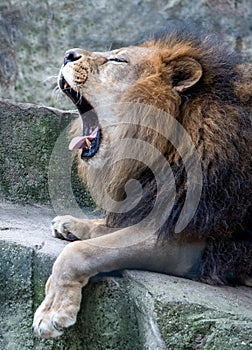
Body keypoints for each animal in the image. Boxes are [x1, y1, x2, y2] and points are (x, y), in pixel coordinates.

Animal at [32, 28, 251, 338]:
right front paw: (72, 224)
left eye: (118, 60)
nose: (68, 54)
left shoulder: (184, 242)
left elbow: (78, 253)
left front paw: (52, 311)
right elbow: (109, 226)